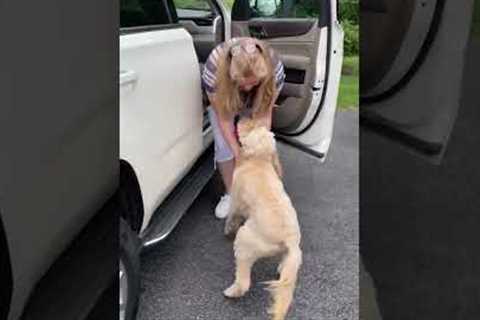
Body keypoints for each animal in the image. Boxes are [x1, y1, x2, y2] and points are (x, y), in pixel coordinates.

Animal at [224, 119, 300, 318]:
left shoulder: (236, 199)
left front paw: (227, 228)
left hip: (244, 240)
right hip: (287, 255)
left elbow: (232, 215)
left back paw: (232, 292)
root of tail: (289, 241)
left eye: (250, 127)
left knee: (244, 281)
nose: (244, 117)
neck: (259, 161)